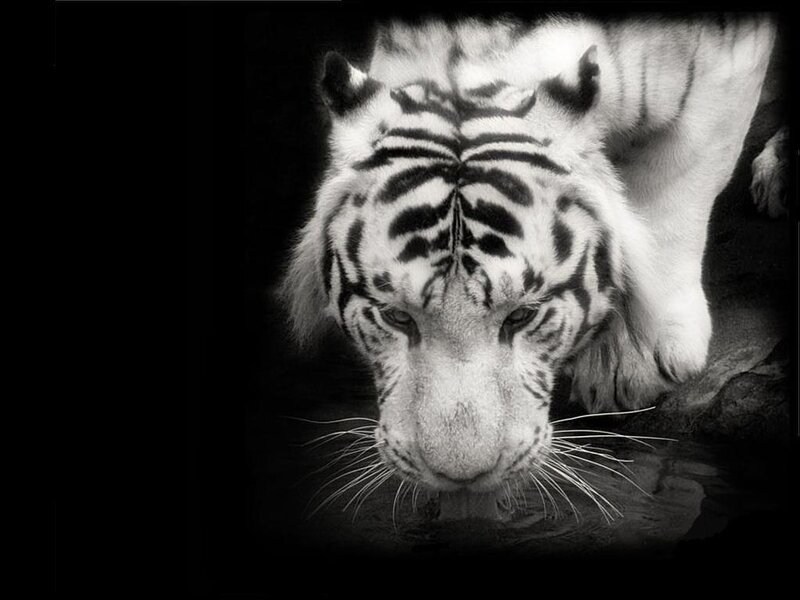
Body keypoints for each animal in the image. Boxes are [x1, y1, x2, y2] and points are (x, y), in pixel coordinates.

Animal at [279, 14, 785, 513]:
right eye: (396, 317)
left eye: (522, 315)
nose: (462, 478)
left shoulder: (726, 66)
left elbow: (676, 182)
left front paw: (631, 358)